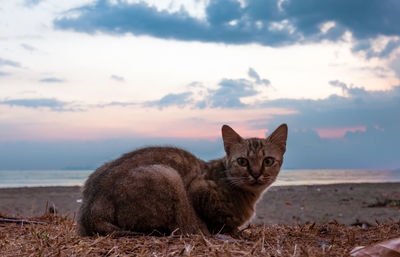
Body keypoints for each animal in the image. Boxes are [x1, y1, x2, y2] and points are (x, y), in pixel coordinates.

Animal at [77, 123, 288, 235]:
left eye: (268, 161)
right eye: (242, 161)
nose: (256, 173)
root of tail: (90, 209)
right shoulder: (198, 190)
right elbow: (217, 220)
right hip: (167, 175)